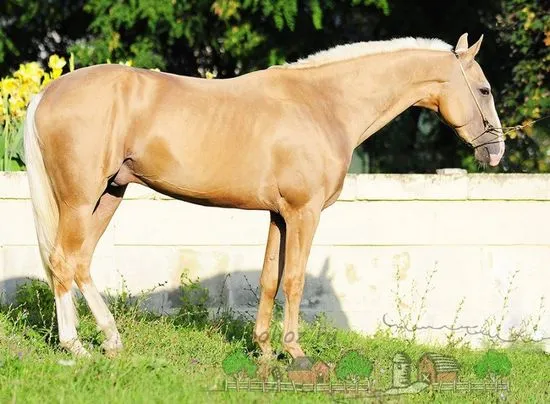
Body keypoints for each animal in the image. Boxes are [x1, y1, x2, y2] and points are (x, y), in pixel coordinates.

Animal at [24, 34, 508, 356]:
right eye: (484, 89)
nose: (496, 151)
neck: (324, 103)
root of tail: (47, 92)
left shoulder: (279, 215)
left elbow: (270, 279)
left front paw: (264, 351)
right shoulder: (304, 213)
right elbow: (294, 280)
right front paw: (295, 354)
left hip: (110, 194)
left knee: (79, 262)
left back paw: (110, 340)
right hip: (80, 199)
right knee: (64, 261)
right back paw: (76, 347)